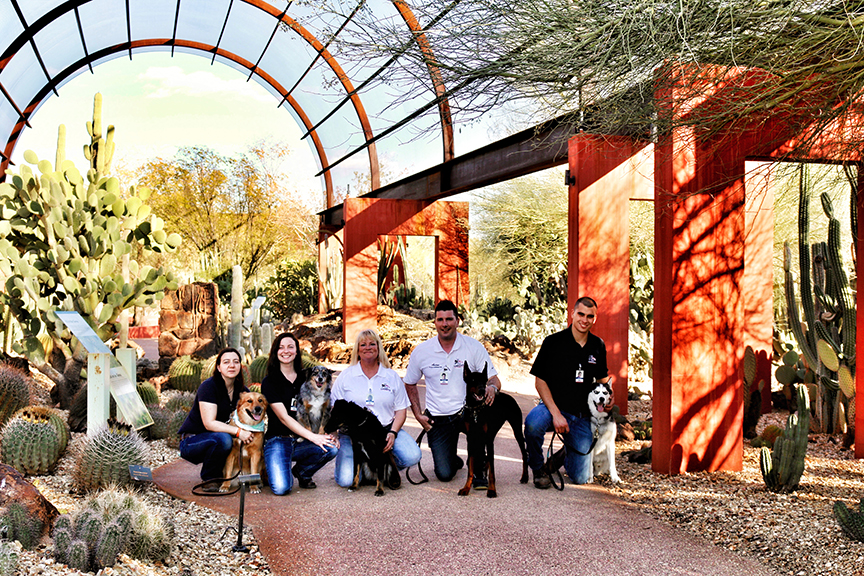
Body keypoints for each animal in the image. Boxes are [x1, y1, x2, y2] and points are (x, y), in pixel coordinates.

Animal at [456, 362, 528, 498]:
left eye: (484, 381)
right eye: (473, 380)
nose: (483, 390)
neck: (476, 409)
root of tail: (508, 396)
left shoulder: (488, 439)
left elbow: (492, 471)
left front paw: (492, 490)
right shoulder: (471, 439)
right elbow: (471, 468)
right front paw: (466, 488)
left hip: (516, 430)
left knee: (524, 453)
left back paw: (525, 477)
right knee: (486, 458)